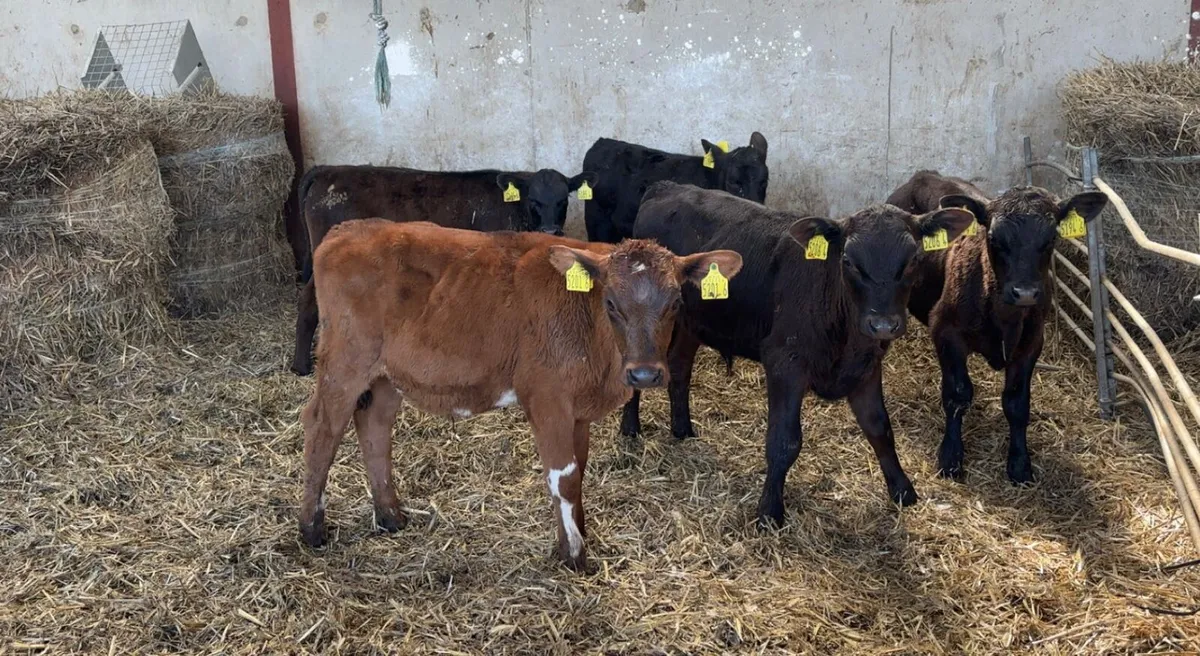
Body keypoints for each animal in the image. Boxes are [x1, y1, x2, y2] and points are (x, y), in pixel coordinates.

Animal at [290, 165, 598, 376]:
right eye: (533, 200)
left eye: (563, 200)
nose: (551, 230)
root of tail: (327, 170)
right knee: (308, 301)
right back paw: (301, 366)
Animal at [299, 218, 742, 570]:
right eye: (611, 302)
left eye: (676, 302)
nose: (645, 373)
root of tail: (348, 229)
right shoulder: (546, 398)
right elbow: (563, 476)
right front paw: (574, 557)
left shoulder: (577, 409)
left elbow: (579, 470)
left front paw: (576, 536)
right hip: (345, 361)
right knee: (322, 428)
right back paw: (311, 529)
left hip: (388, 375)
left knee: (374, 425)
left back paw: (390, 515)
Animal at [626, 181, 975, 527]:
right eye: (848, 261)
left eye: (914, 258)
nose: (883, 324)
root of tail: (666, 186)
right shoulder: (785, 363)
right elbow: (783, 440)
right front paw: (769, 511)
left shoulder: (866, 365)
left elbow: (879, 428)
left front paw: (903, 490)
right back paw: (630, 430)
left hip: (691, 323)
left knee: (679, 367)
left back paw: (682, 430)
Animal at [887, 170, 1107, 483]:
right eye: (994, 238)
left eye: (1052, 237)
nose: (1025, 293)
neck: (1005, 317)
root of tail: (924, 175)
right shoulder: (945, 331)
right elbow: (957, 394)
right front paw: (951, 457)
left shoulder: (1031, 343)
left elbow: (1017, 403)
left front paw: (1019, 463)